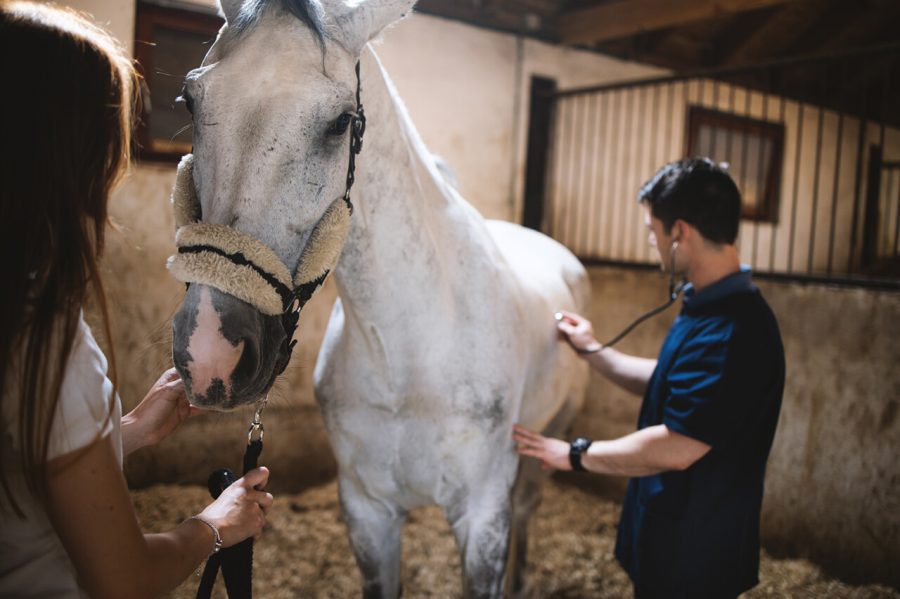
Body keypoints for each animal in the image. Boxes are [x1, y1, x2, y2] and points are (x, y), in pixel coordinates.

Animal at [169, 2, 592, 596]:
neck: (408, 347)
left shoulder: (481, 516)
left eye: (340, 121)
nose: (211, 352)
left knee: (528, 504)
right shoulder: (368, 512)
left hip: (546, 441)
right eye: (191, 99)